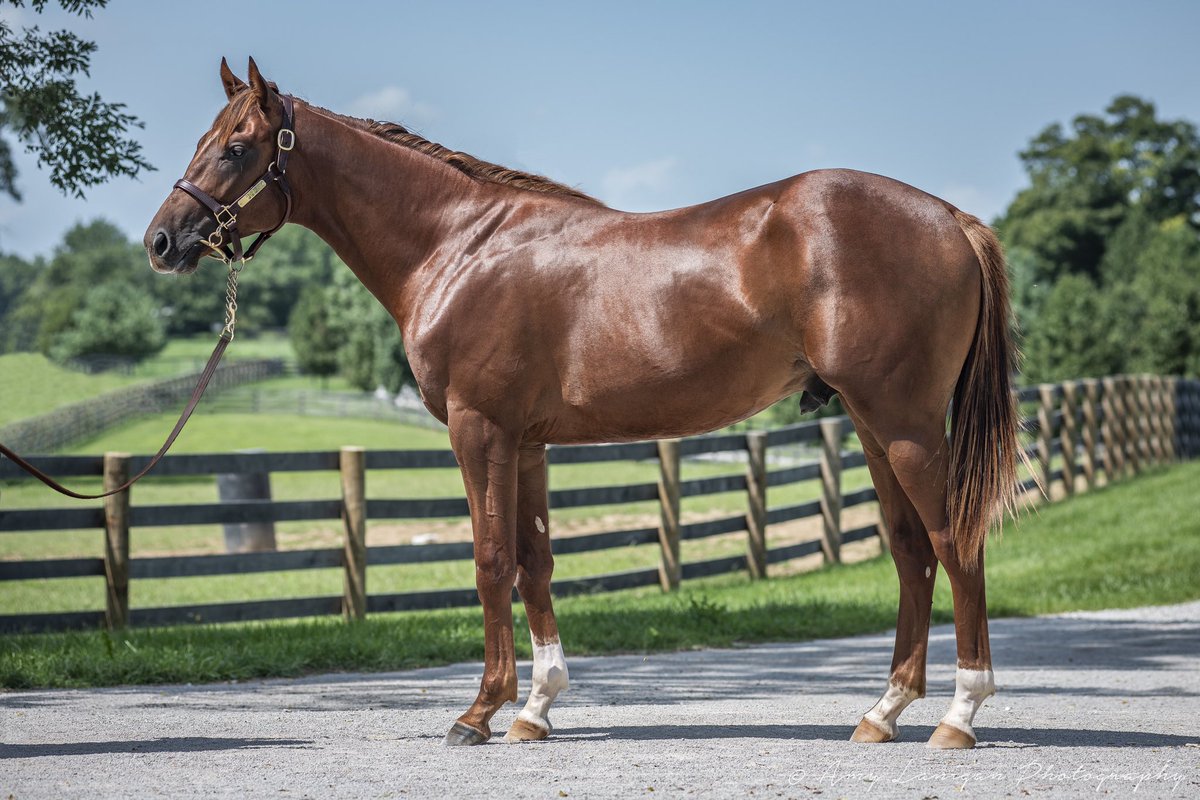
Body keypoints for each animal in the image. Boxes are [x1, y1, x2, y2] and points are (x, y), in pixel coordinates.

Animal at [145, 58, 1023, 749]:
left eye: (236, 146)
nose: (162, 241)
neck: (460, 246)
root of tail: (950, 217)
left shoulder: (480, 431)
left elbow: (490, 561)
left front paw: (478, 712)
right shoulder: (527, 442)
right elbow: (536, 564)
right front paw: (535, 709)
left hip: (906, 426)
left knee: (955, 542)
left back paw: (960, 715)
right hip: (872, 426)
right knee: (912, 553)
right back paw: (883, 712)